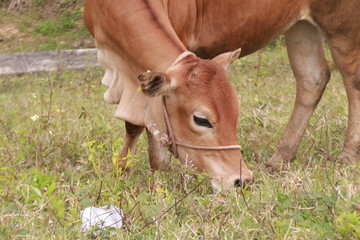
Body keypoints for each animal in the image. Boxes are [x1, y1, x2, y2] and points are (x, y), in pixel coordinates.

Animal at [83, 0, 358, 188]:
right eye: (201, 119)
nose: (242, 179)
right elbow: (137, 124)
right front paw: (123, 170)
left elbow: (145, 120)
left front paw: (157, 169)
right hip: (301, 27)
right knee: (313, 78)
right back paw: (280, 157)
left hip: (341, 23)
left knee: (352, 78)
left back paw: (347, 154)